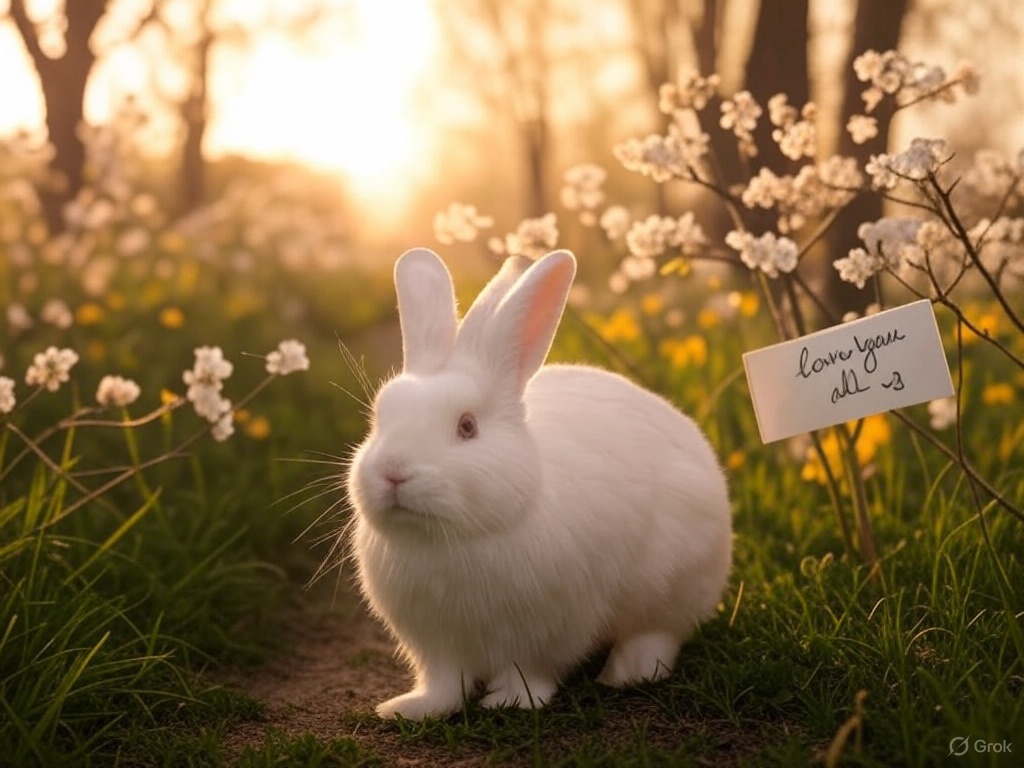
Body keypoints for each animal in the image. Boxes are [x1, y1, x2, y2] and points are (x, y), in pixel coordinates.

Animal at [346, 247, 732, 721]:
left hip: (672, 583)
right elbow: (444, 683)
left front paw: (511, 702)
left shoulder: (547, 630)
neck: (452, 538)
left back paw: (626, 672)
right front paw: (411, 709)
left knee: (658, 632)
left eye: (467, 426)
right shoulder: (437, 644)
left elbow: (528, 671)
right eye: (379, 419)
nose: (394, 471)